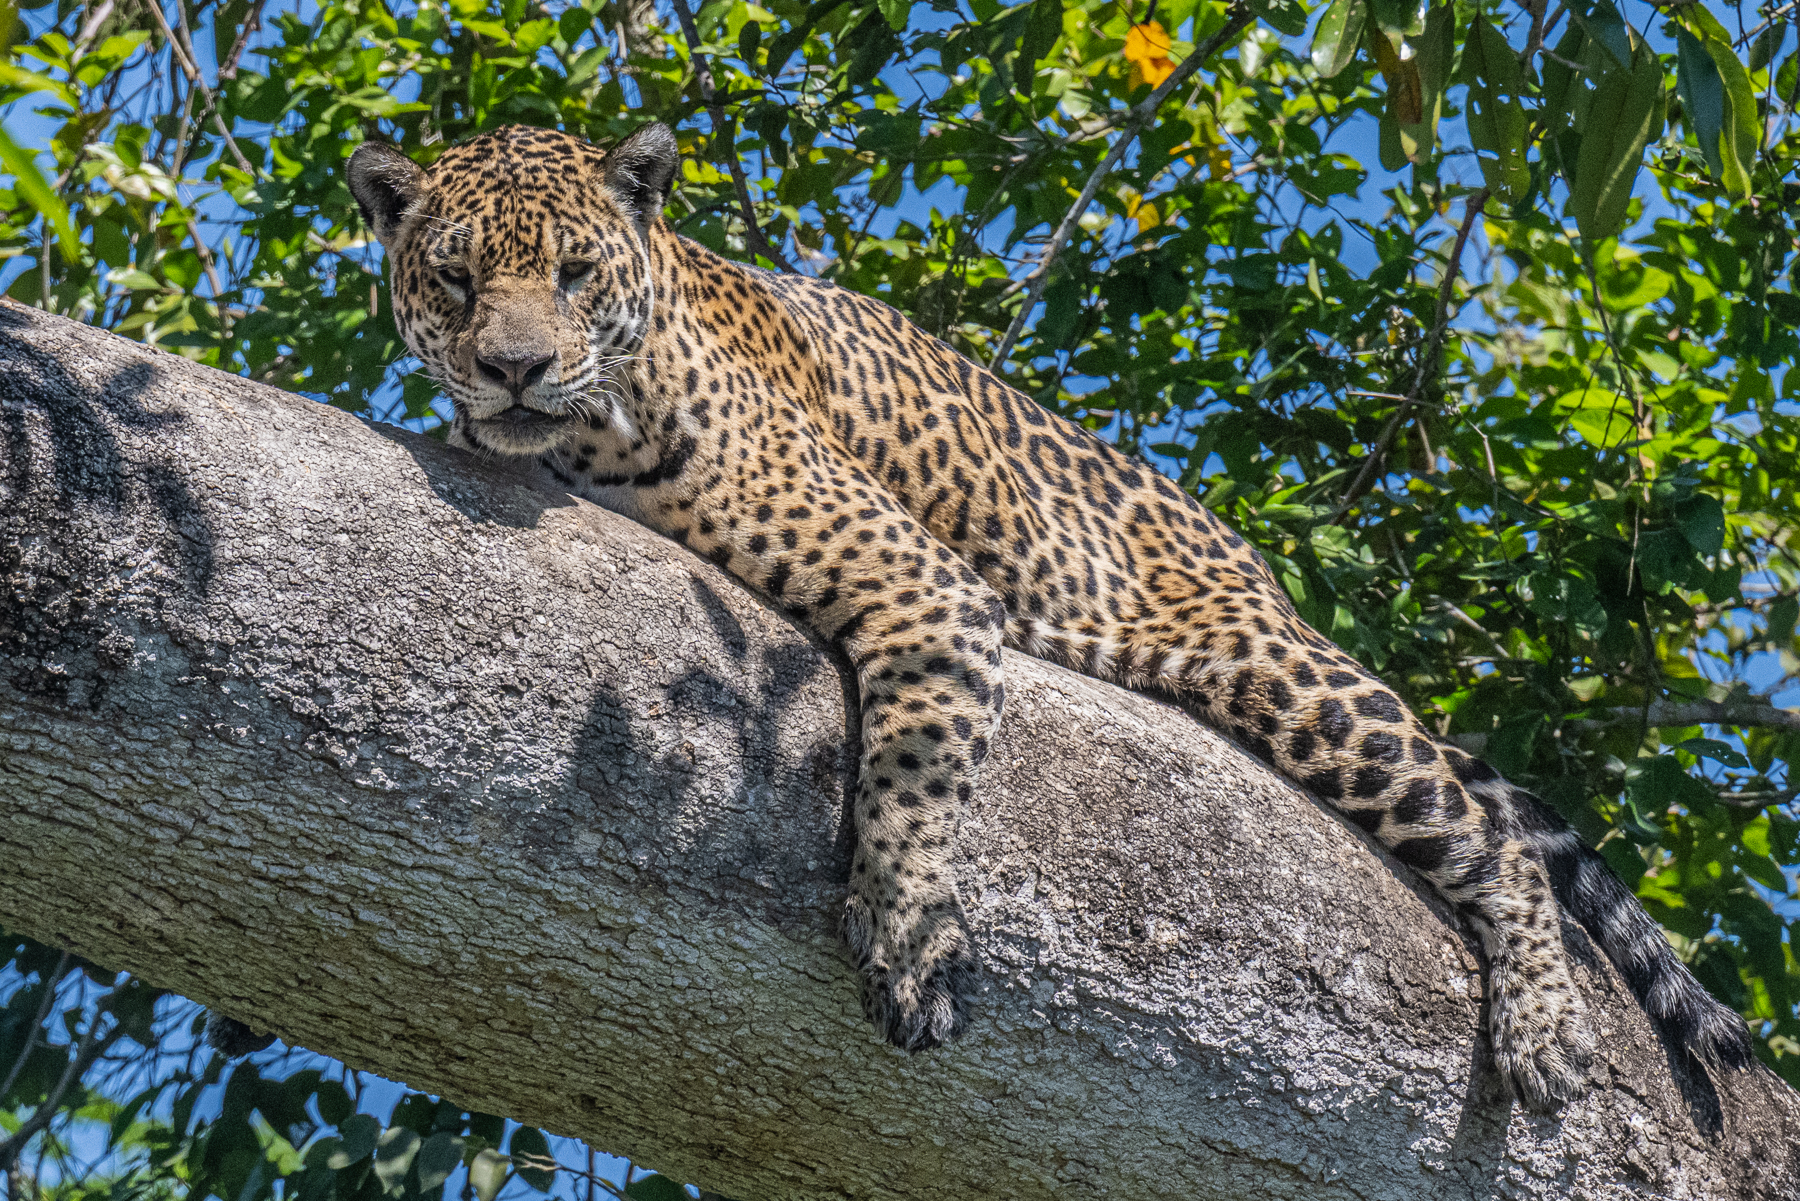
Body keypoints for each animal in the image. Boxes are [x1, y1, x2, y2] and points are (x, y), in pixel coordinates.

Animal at [344, 120, 1754, 1111]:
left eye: (578, 273)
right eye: (455, 281)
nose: (513, 367)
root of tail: (1250, 559)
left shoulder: (922, 583)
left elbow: (915, 769)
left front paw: (911, 935)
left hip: (1283, 674)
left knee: (1496, 842)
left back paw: (1547, 1033)